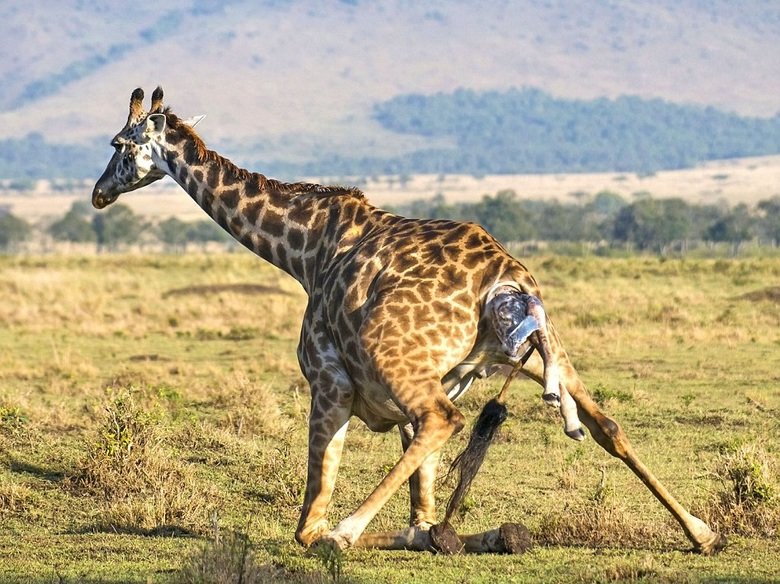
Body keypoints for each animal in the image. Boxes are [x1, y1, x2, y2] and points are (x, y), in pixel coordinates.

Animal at [92, 87, 724, 555]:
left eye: (119, 144)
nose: (98, 193)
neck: (304, 250)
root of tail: (505, 278)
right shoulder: (418, 391)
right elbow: (421, 511)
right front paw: (460, 534)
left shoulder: (329, 381)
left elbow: (310, 517)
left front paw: (345, 532)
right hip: (544, 350)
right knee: (606, 424)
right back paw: (701, 532)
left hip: (392, 352)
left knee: (445, 420)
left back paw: (347, 532)